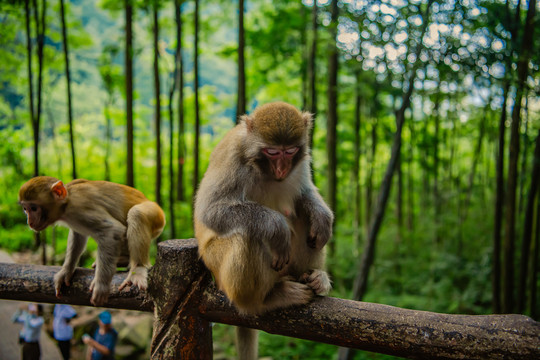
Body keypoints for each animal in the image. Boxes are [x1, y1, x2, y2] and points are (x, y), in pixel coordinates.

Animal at [18, 176, 165, 306]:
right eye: (25, 209)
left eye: (34, 208)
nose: (29, 222)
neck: (66, 203)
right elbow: (78, 235)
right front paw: (66, 271)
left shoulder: (81, 209)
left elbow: (112, 230)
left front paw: (101, 285)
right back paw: (123, 259)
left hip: (155, 214)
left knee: (136, 213)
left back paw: (138, 269)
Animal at [194, 101, 334, 360]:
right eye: (272, 152)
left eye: (290, 151)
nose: (281, 170)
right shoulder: (233, 157)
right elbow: (211, 210)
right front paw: (277, 227)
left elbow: (304, 192)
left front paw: (322, 216)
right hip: (219, 269)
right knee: (247, 233)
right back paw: (263, 301)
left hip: (287, 268)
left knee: (302, 216)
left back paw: (315, 277)